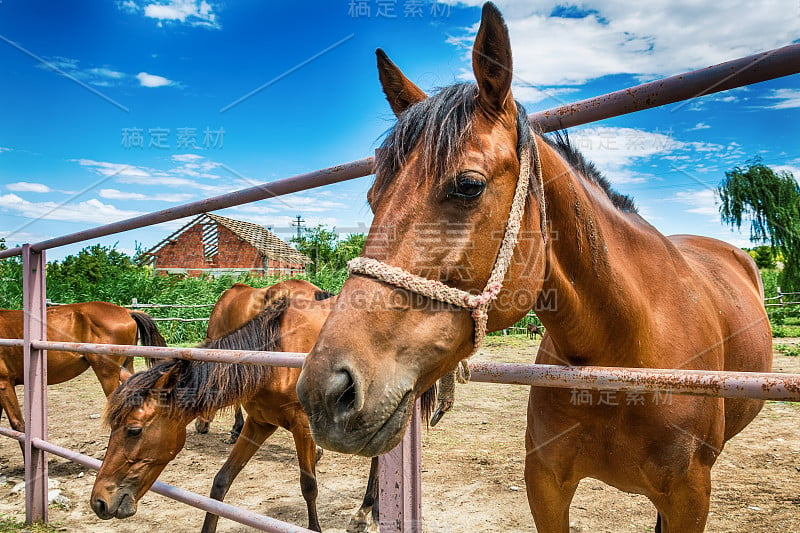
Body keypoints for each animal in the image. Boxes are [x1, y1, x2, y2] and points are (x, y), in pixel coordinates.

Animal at [296, 3, 776, 528]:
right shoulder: (545, 485)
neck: (624, 358)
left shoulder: (690, 498)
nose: (326, 391)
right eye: (371, 196)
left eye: (468, 185)